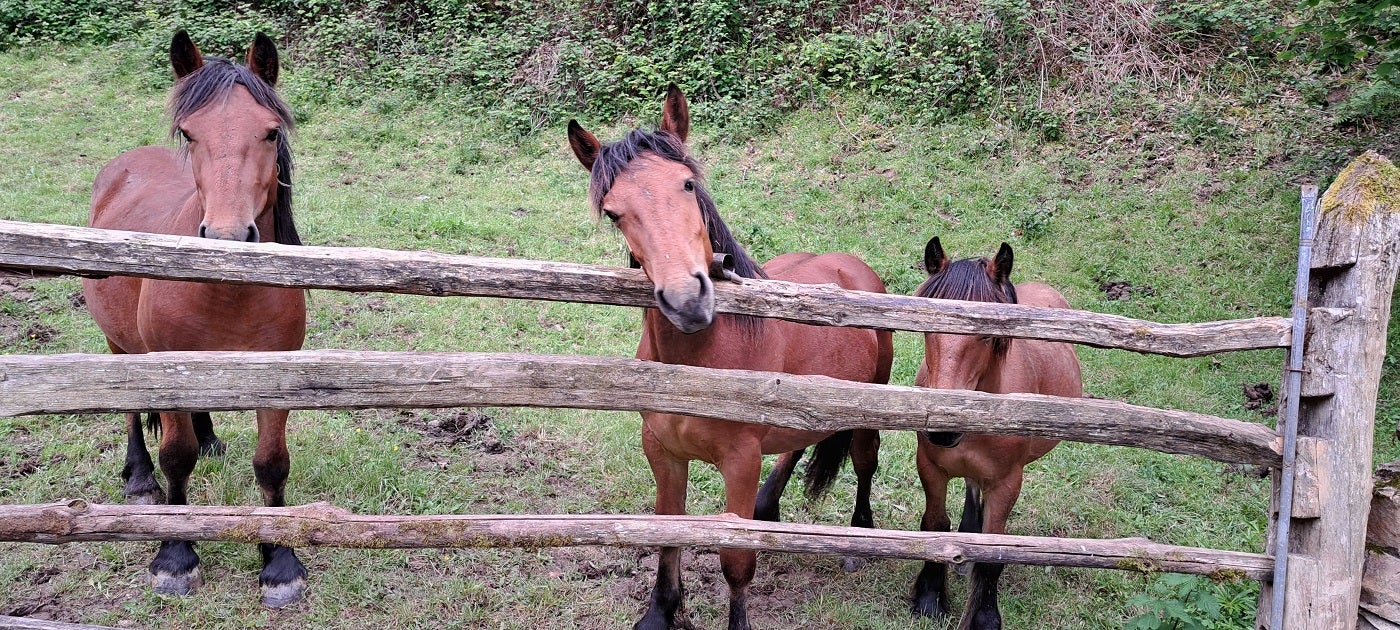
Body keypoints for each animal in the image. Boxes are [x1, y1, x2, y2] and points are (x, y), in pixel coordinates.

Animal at [80, 32, 308, 607]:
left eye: (270, 132)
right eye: (189, 132)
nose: (228, 237)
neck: (226, 289)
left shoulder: (276, 376)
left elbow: (272, 463)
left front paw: (279, 561)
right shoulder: (165, 368)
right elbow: (176, 458)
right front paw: (176, 555)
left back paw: (208, 438)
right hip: (122, 348)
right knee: (134, 415)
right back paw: (139, 479)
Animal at [571, 85, 890, 630]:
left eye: (686, 185)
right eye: (613, 212)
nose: (686, 301)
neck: (700, 362)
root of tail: (852, 267)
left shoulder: (739, 462)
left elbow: (736, 560)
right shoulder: (662, 451)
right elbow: (668, 530)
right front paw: (660, 612)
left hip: (871, 407)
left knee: (864, 462)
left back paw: (858, 537)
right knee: (795, 444)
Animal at [907, 238, 1080, 630]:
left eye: (987, 334)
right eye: (926, 329)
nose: (944, 430)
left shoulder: (1006, 483)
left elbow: (992, 549)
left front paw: (985, 618)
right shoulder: (931, 467)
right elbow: (933, 524)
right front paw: (929, 598)